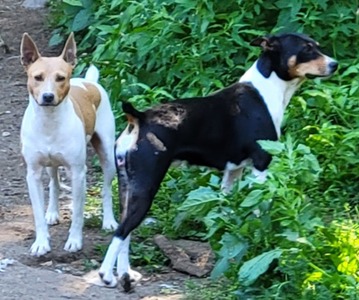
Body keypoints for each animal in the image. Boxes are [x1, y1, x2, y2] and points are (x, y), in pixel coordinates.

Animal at [20, 34, 118, 256]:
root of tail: (89, 82)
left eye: (61, 78)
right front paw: (41, 242)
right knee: (54, 183)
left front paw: (74, 241)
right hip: (51, 166)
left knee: (106, 190)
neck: (49, 122)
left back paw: (109, 221)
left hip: (108, 156)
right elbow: (37, 213)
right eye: (37, 77)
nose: (48, 96)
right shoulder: (33, 173)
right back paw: (52, 212)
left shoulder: (78, 173)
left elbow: (78, 213)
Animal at [97, 31, 338, 290]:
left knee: (125, 233)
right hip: (146, 188)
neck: (266, 89)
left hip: (128, 188)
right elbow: (259, 211)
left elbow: (228, 215)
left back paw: (126, 274)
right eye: (306, 49)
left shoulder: (232, 173)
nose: (335, 64)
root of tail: (139, 118)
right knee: (120, 232)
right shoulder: (261, 165)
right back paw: (106, 276)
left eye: (316, 46)